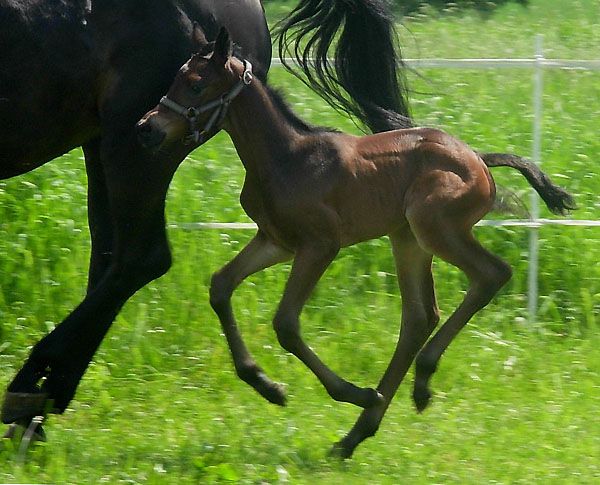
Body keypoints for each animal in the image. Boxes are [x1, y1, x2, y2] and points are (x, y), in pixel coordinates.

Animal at [137, 26, 576, 458]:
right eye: (176, 78)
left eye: (195, 84)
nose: (147, 128)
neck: (286, 158)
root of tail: (480, 161)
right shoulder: (275, 241)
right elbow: (221, 286)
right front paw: (266, 385)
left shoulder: (320, 245)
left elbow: (286, 323)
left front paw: (353, 392)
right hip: (407, 238)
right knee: (419, 316)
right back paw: (358, 433)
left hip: (434, 226)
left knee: (491, 274)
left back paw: (412, 384)